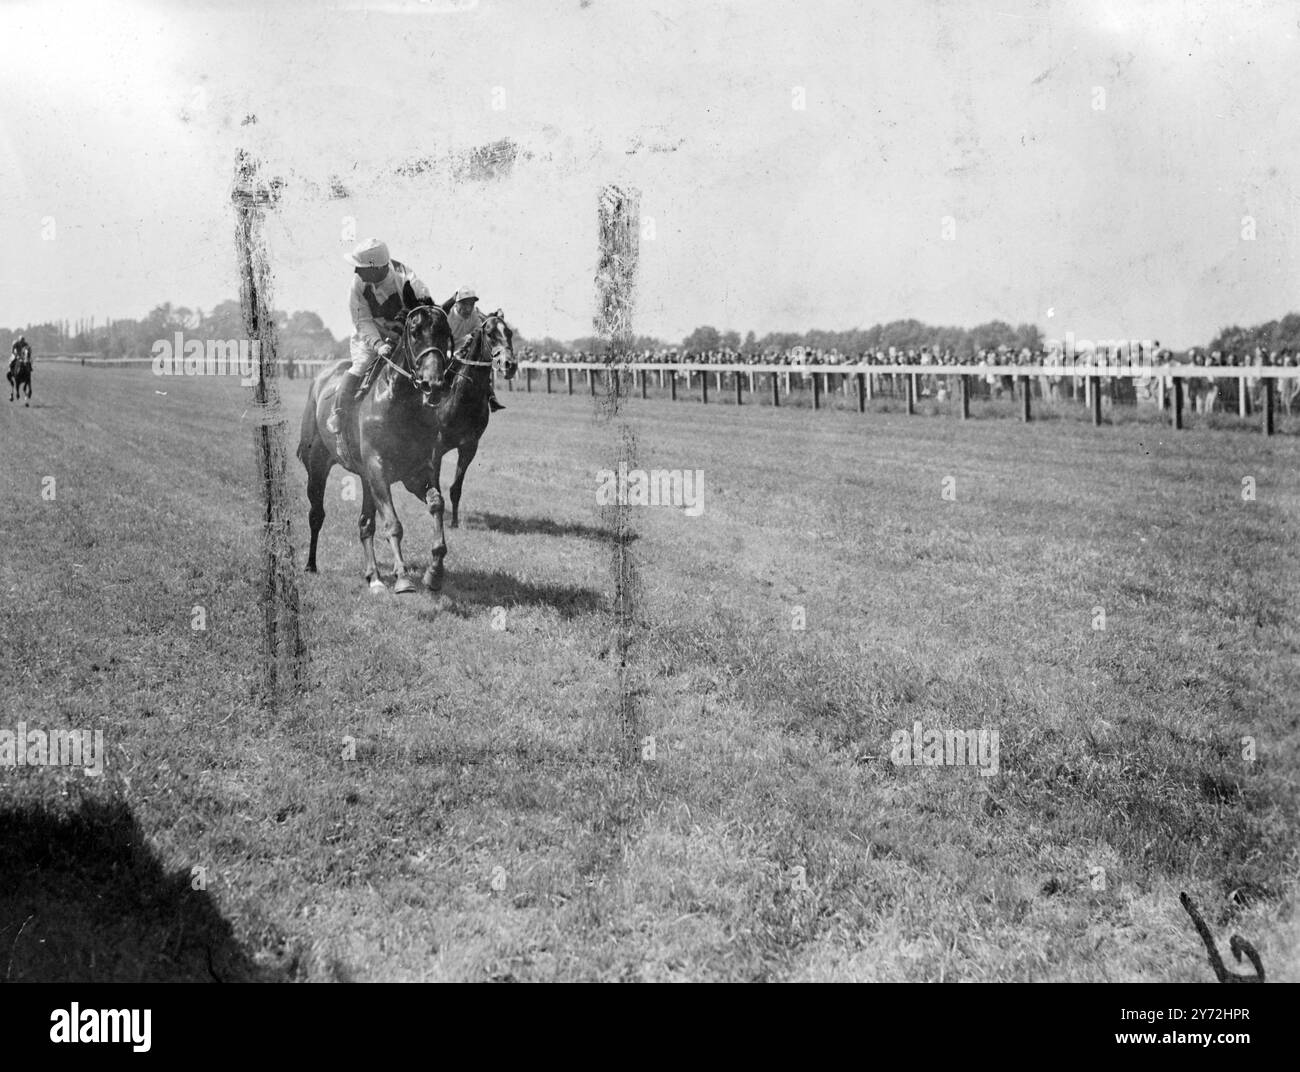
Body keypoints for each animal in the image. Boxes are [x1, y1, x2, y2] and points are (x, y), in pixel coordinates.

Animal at [299, 301, 457, 595]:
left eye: (445, 332)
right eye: (415, 332)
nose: (434, 384)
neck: (399, 405)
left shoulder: (415, 473)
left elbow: (437, 504)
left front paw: (434, 572)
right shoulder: (378, 469)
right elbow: (393, 524)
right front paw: (403, 576)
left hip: (365, 478)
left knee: (365, 523)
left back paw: (373, 575)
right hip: (317, 464)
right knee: (316, 514)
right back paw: (311, 564)